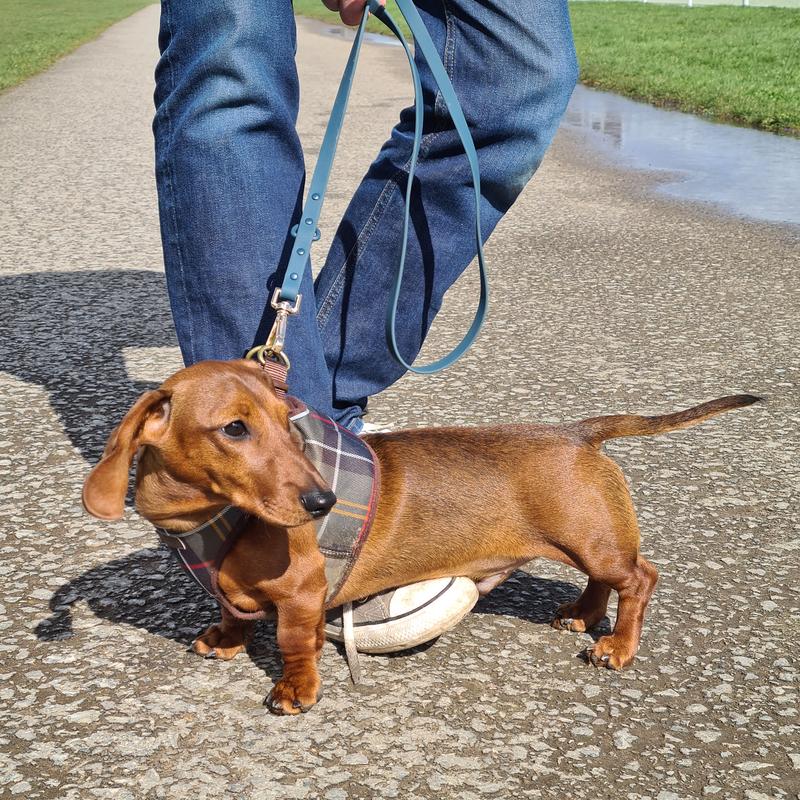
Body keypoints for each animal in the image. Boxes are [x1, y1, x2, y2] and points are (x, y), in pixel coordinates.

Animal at [81, 360, 756, 716]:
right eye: (234, 429)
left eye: (287, 423)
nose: (320, 503)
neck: (213, 523)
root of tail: (578, 432)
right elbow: (231, 611)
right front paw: (225, 638)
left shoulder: (300, 593)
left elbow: (295, 643)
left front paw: (296, 689)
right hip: (586, 540)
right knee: (603, 579)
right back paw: (582, 616)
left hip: (593, 540)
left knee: (639, 578)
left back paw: (617, 646)